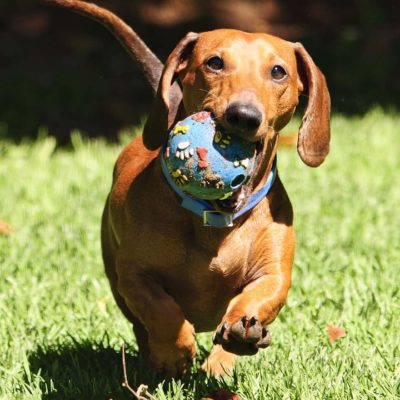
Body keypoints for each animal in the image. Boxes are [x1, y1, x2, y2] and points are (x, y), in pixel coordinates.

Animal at [47, 0, 330, 376]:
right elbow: (163, 312)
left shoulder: (274, 275)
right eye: (215, 62)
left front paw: (240, 336)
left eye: (278, 72)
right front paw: (175, 353)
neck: (215, 218)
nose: (243, 115)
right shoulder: (134, 275)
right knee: (141, 326)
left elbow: (259, 297)